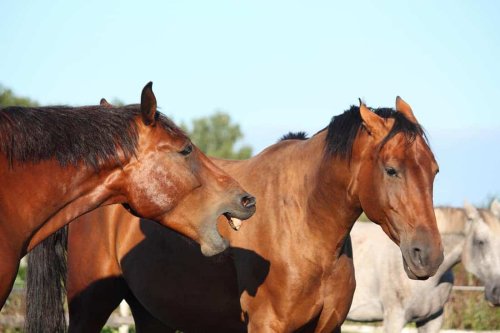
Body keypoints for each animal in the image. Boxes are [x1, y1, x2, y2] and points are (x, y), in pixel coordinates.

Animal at [27, 96, 444, 332]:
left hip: (151, 313)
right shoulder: (267, 327)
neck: (305, 227)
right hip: (91, 305)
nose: (428, 255)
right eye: (391, 169)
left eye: (435, 170)